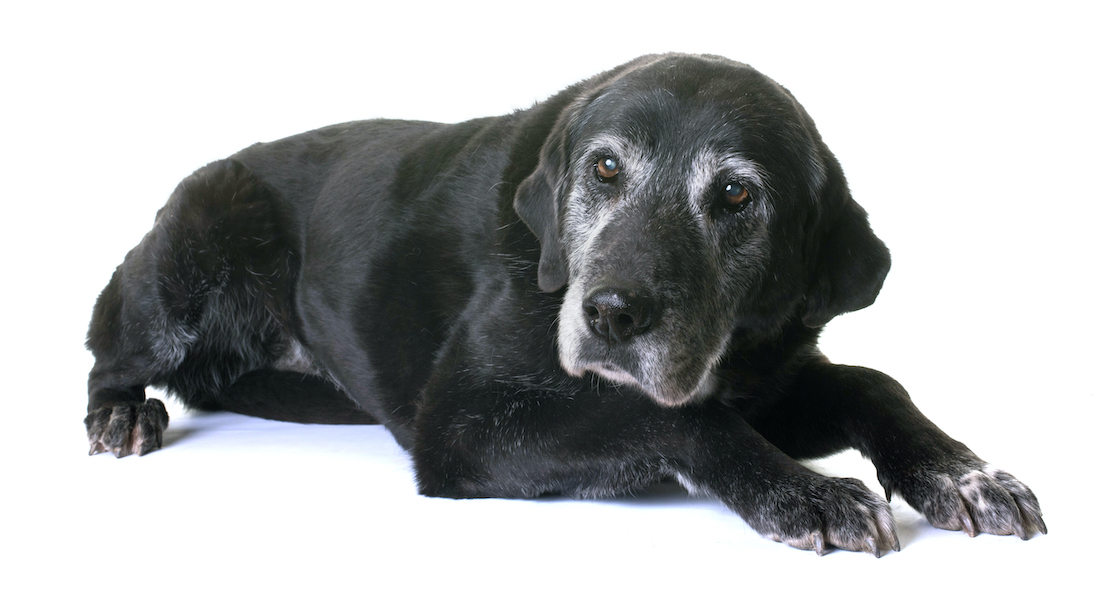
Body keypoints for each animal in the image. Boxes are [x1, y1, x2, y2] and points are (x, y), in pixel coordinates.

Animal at [81, 53, 1042, 554]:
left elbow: (875, 382)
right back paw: (122, 413)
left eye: (736, 195)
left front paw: (964, 472)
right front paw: (807, 492)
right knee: (104, 348)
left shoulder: (778, 374)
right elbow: (668, 417)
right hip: (188, 260)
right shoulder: (465, 429)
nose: (611, 314)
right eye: (605, 168)